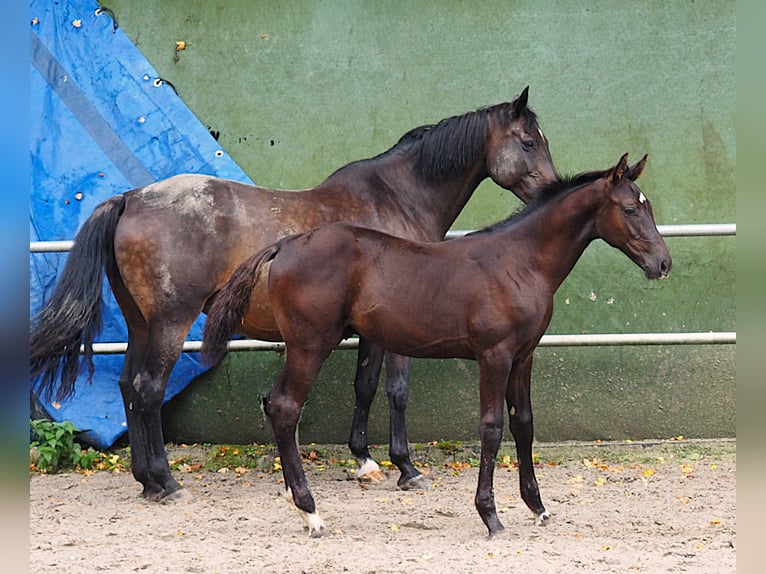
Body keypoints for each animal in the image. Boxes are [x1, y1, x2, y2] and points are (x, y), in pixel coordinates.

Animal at [30, 87, 558, 500]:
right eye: (529, 142)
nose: (553, 191)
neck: (394, 198)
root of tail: (132, 199)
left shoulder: (370, 332)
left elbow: (365, 386)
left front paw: (365, 460)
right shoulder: (395, 332)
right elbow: (396, 391)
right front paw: (405, 467)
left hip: (141, 324)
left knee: (127, 387)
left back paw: (145, 480)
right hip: (170, 323)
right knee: (148, 389)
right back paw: (166, 481)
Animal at [200, 153, 671, 537]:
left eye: (648, 206)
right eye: (630, 208)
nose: (662, 263)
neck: (520, 261)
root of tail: (285, 245)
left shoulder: (524, 356)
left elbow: (524, 424)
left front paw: (537, 507)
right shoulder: (494, 355)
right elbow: (491, 427)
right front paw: (490, 515)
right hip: (310, 344)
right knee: (284, 406)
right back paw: (311, 512)